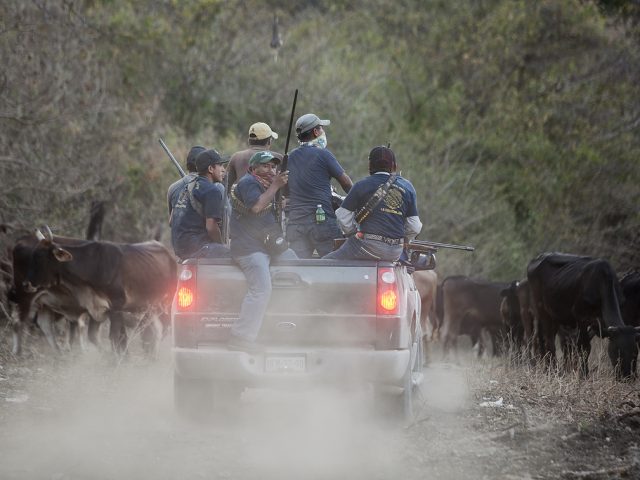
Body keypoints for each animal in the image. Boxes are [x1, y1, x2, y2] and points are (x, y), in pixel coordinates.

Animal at [16, 227, 176, 358]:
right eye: (32, 255)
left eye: (40, 257)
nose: (26, 284)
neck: (93, 266)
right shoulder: (97, 308)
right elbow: (94, 336)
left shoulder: (116, 307)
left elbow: (115, 336)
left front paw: (119, 360)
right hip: (148, 307)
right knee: (156, 330)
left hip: (165, 303)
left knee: (164, 327)